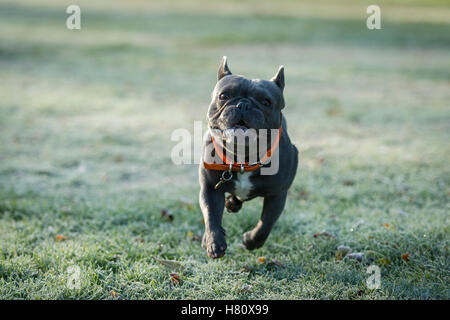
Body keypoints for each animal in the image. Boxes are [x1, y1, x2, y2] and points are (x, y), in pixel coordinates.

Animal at [198, 57, 298, 258]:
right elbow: (211, 214)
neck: (243, 158)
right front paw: (213, 242)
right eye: (223, 96)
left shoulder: (277, 195)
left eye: (266, 102)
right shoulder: (210, 188)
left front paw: (250, 241)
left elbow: (265, 224)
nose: (243, 104)